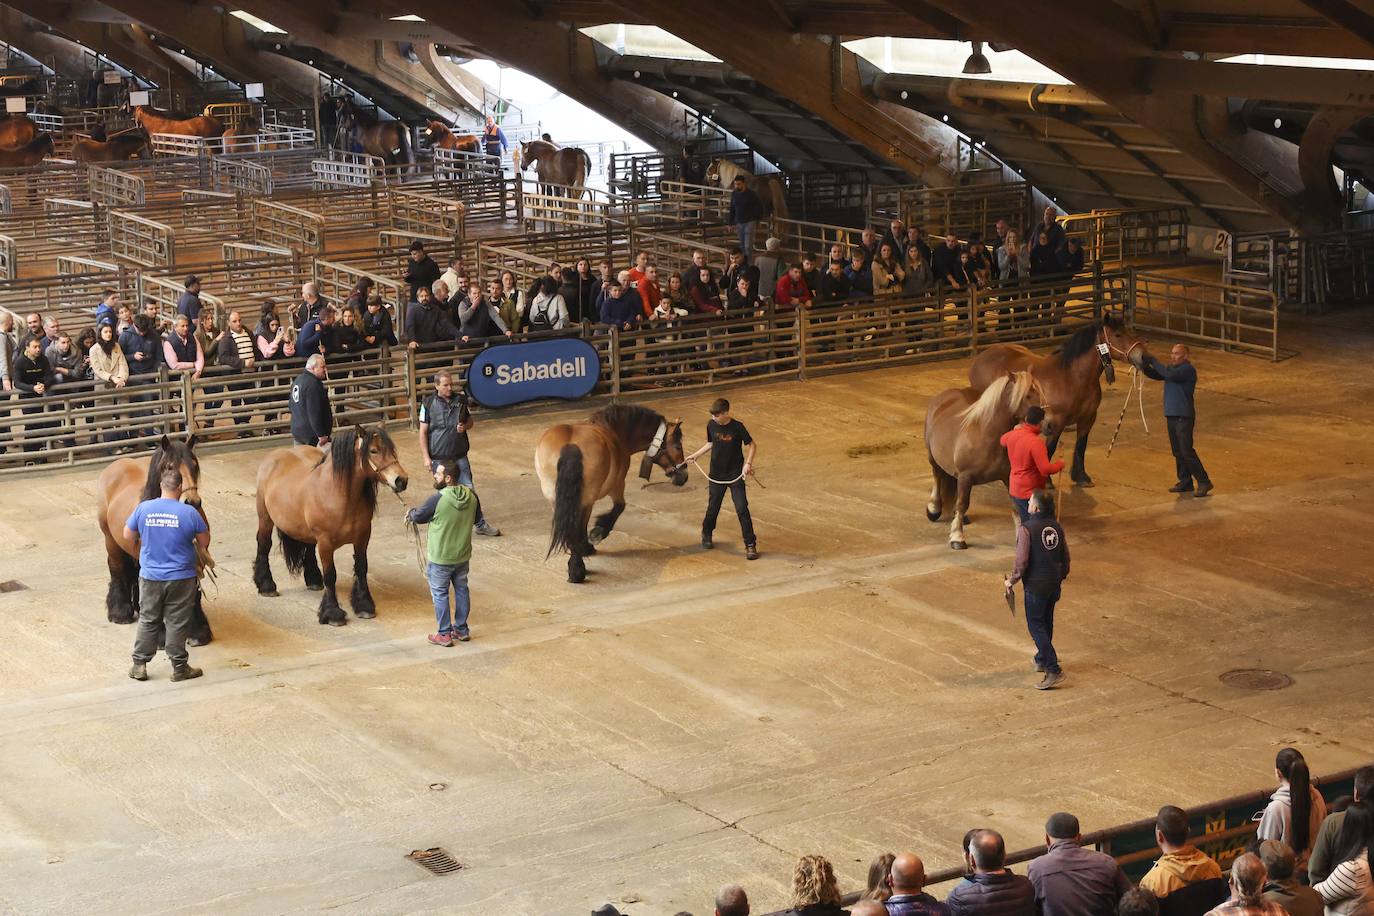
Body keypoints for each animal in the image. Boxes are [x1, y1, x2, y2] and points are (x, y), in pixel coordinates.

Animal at [253, 426, 409, 625]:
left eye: (392, 450)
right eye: (374, 451)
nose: (401, 480)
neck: (336, 495)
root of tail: (276, 455)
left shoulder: (362, 537)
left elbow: (361, 568)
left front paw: (364, 606)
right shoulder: (325, 543)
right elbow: (330, 575)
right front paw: (332, 613)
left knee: (308, 549)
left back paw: (313, 580)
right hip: (265, 518)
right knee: (264, 545)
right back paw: (266, 586)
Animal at [535, 405, 688, 583]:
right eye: (678, 446)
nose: (684, 476)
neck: (614, 430)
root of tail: (571, 446)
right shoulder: (616, 486)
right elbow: (619, 507)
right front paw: (597, 533)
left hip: (555, 499)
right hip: (584, 499)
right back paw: (577, 570)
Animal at [924, 370, 1042, 550]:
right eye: (1027, 395)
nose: (1043, 418)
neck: (987, 435)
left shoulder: (1008, 477)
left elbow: (1015, 506)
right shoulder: (966, 476)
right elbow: (962, 504)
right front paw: (957, 538)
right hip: (933, 459)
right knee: (937, 477)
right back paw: (934, 508)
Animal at [967, 313, 1149, 487]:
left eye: (1127, 331)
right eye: (1118, 334)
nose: (1141, 355)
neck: (1072, 377)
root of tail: (980, 358)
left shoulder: (1088, 419)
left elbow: (1081, 446)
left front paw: (1081, 477)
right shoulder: (1055, 422)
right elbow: (1049, 449)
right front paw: (1046, 481)